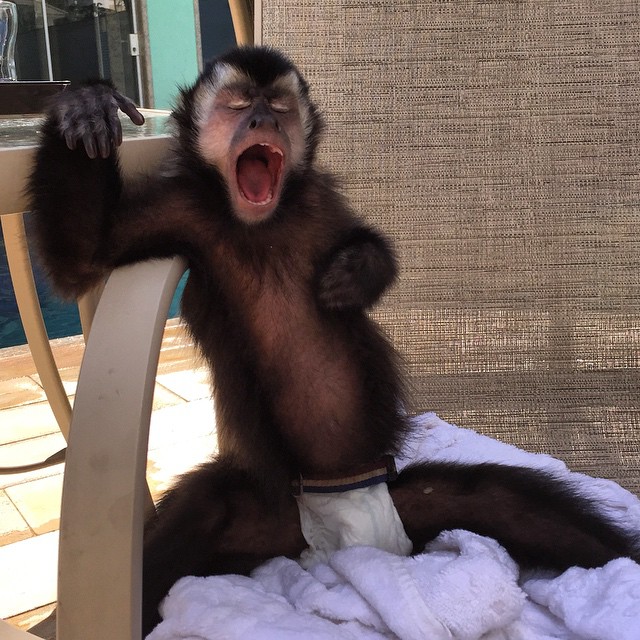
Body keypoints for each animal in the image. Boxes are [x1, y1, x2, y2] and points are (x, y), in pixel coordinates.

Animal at [30, 46, 640, 636]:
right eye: (237, 104)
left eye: (277, 106)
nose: (260, 121)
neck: (261, 221)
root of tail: (343, 543)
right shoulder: (181, 208)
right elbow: (84, 258)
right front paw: (84, 106)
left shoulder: (319, 201)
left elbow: (373, 250)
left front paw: (356, 272)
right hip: (267, 513)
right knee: (202, 514)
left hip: (407, 502)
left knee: (503, 502)